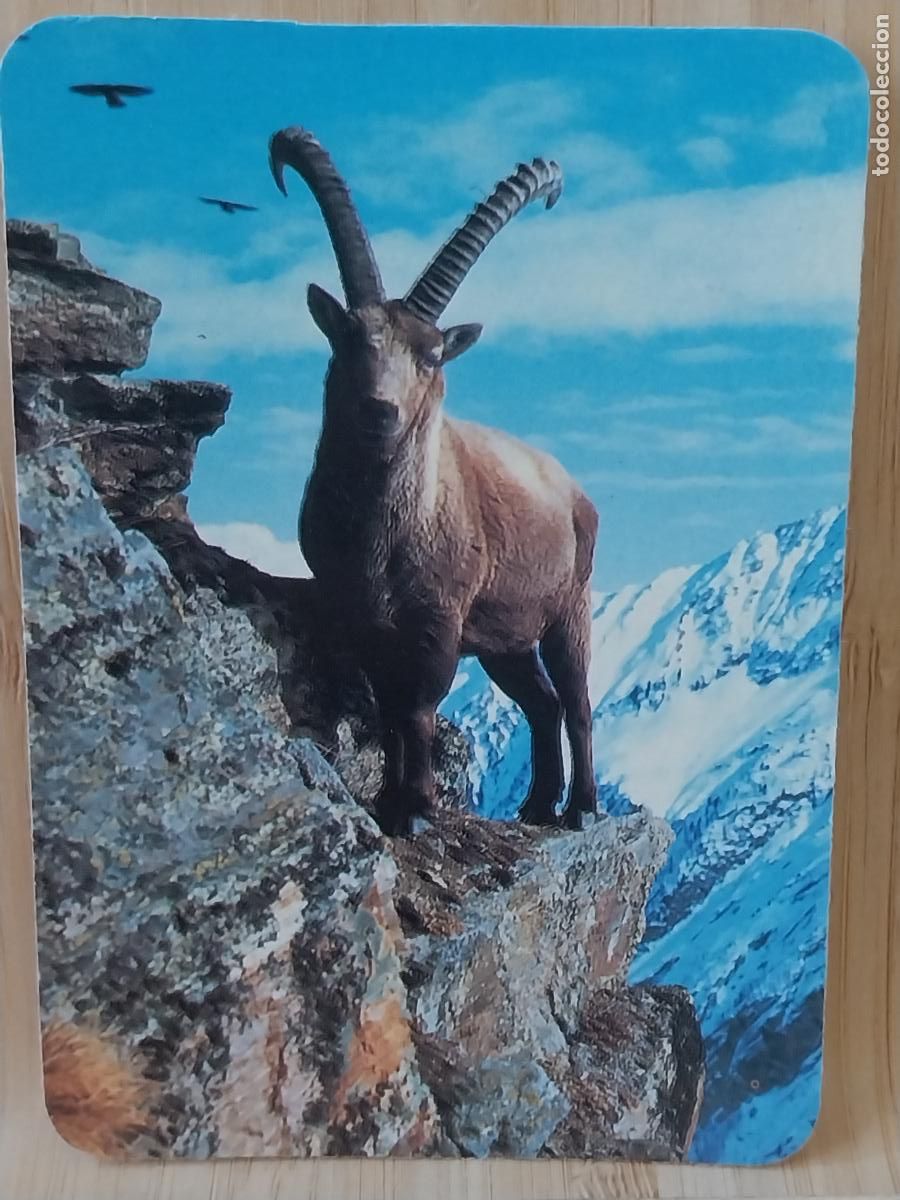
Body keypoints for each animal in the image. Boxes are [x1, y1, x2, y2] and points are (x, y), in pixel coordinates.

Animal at [269, 127, 599, 836]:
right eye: (348, 338)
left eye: (431, 354)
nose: (379, 411)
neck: (385, 532)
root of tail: (571, 487)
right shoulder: (359, 613)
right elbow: (387, 709)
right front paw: (390, 801)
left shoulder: (438, 616)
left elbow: (418, 707)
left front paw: (418, 809)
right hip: (505, 637)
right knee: (543, 704)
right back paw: (538, 804)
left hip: (570, 606)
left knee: (578, 700)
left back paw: (581, 808)